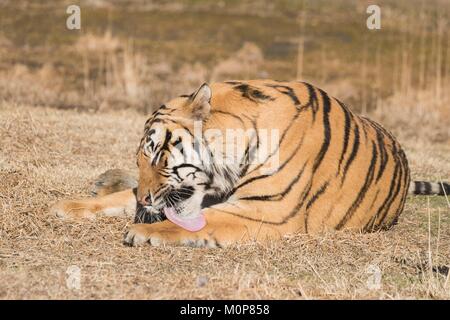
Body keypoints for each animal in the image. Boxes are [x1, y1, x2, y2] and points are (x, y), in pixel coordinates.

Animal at [51, 79, 450, 248]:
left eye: (158, 155)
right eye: (141, 158)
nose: (148, 200)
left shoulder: (267, 210)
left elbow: (203, 221)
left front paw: (143, 232)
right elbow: (124, 198)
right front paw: (69, 206)